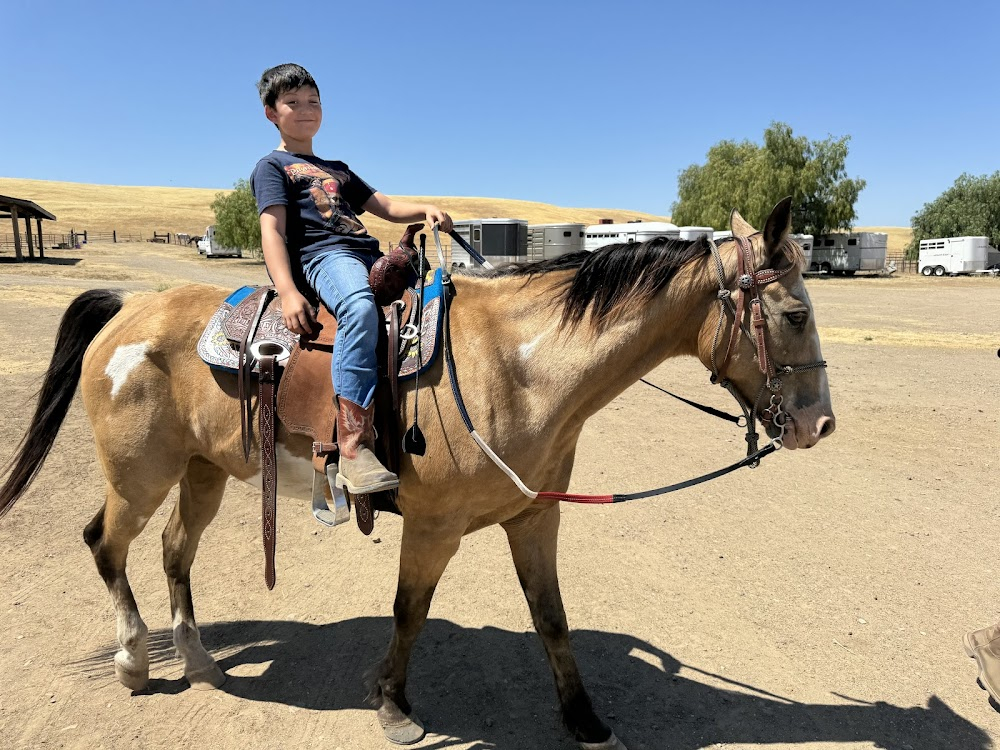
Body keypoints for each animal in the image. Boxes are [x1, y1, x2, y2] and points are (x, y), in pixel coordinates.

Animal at [0, 200, 836, 750]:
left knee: (176, 551)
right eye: (794, 315)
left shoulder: (536, 516)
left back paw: (201, 661)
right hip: (138, 476)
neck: (521, 366)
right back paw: (135, 662)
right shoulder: (434, 527)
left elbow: (553, 620)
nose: (820, 425)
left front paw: (585, 720)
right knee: (106, 545)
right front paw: (394, 706)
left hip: (204, 470)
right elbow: (410, 613)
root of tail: (124, 310)